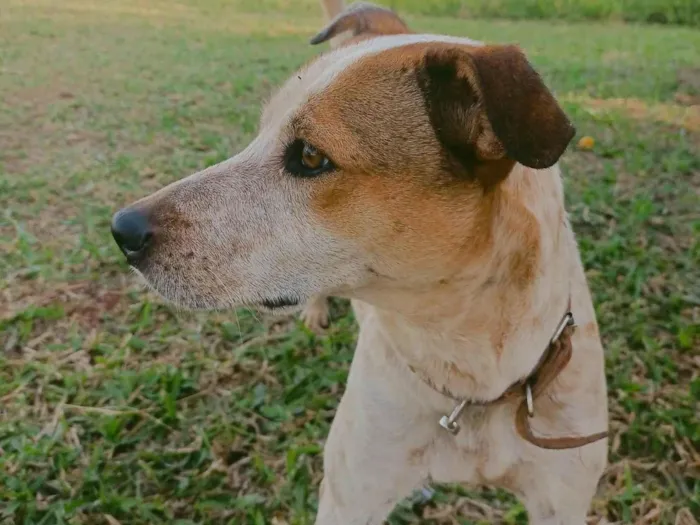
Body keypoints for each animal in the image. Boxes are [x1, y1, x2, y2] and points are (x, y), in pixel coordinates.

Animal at [109, 2, 608, 520]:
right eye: (259, 131)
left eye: (311, 156)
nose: (122, 230)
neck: (469, 379)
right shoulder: (352, 495)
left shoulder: (561, 500)